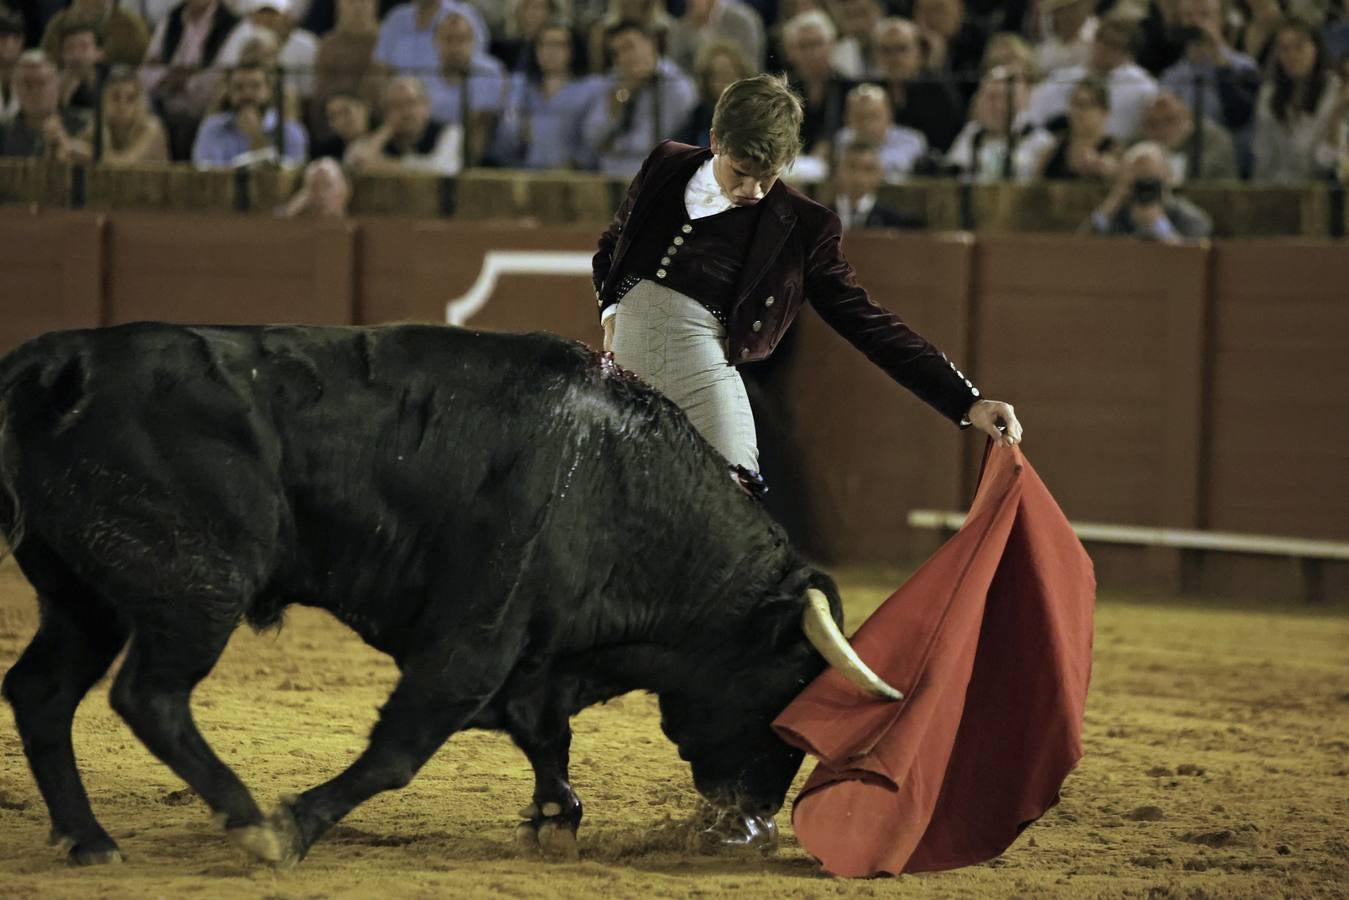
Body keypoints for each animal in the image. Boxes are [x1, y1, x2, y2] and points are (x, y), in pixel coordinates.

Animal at [0, 322, 895, 863]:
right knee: (149, 696)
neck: (621, 486)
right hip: (197, 586)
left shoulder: (535, 658)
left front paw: (556, 816)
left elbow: (544, 736)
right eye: (788, 697)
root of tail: (63, 359)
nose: (752, 823)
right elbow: (402, 748)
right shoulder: (473, 644)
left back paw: (88, 839)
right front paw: (295, 823)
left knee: (41, 689)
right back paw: (249, 821)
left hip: (83, 595)